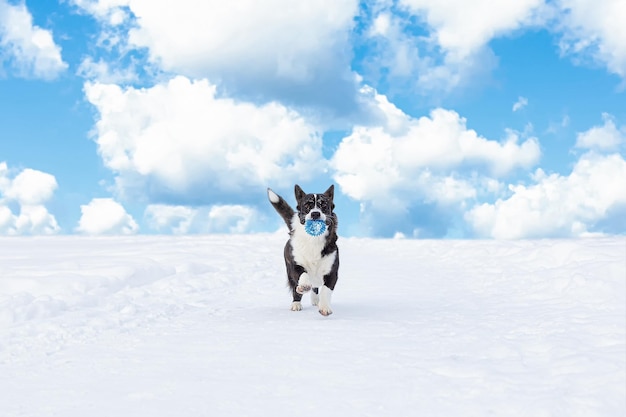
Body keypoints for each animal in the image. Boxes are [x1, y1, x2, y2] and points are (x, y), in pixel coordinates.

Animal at [266, 184, 338, 314]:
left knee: (316, 287)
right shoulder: (295, 265)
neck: (314, 239)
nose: (315, 214)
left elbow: (325, 290)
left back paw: (315, 300)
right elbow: (303, 274)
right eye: (307, 205)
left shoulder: (332, 272)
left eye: (324, 205)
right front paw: (304, 286)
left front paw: (324, 307)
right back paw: (296, 303)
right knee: (296, 288)